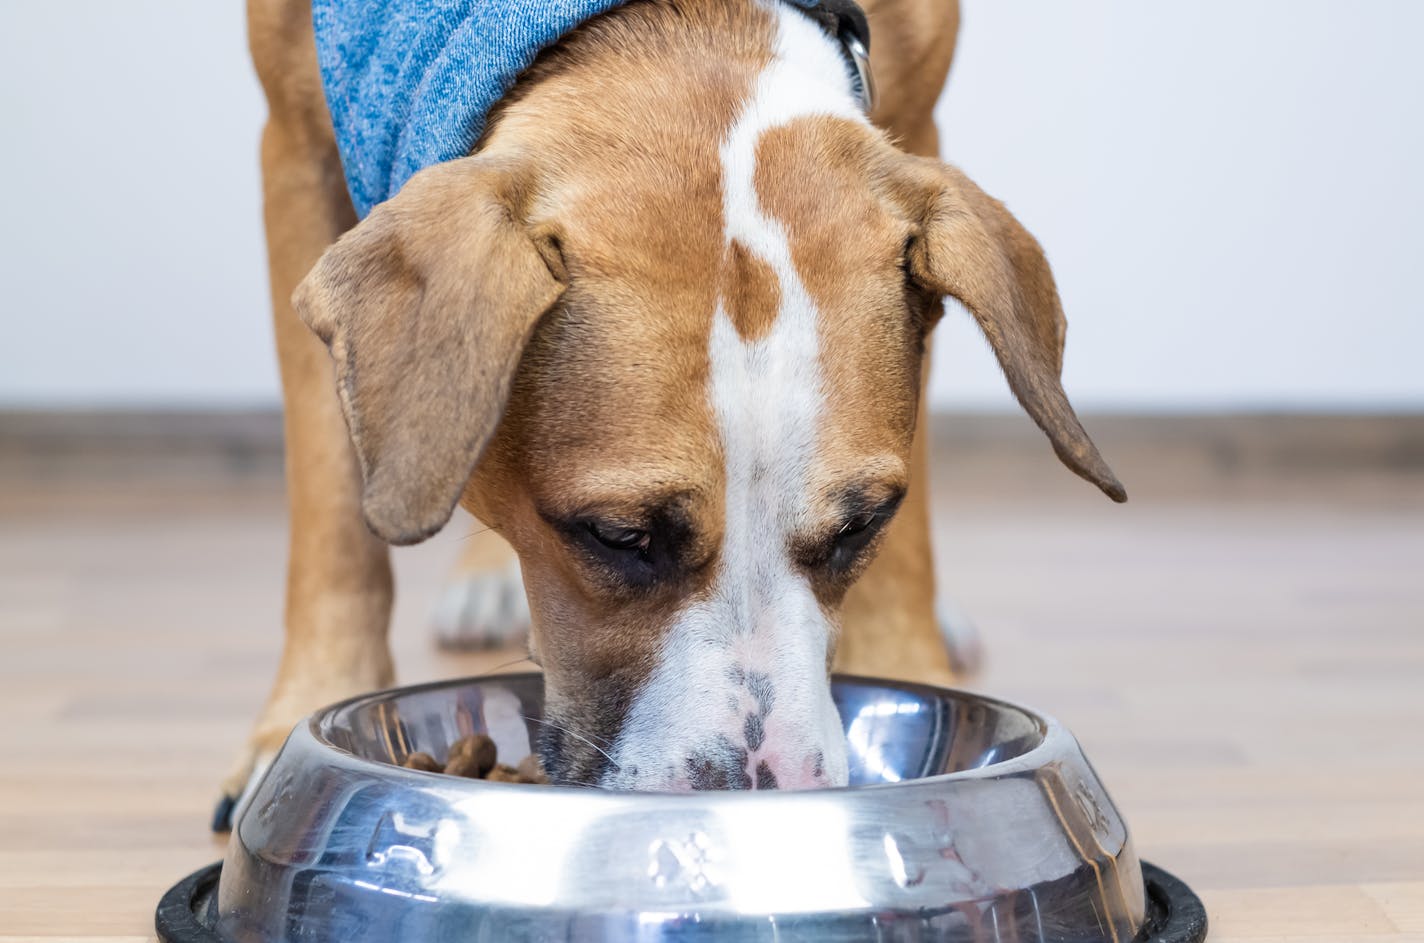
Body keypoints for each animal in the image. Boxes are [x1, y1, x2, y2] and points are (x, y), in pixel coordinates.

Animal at [222, 0, 1127, 826]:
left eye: (862, 525)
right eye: (617, 535)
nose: (759, 795)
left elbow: (911, 546)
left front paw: (914, 660)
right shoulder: (297, 146)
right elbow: (332, 502)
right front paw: (300, 713)